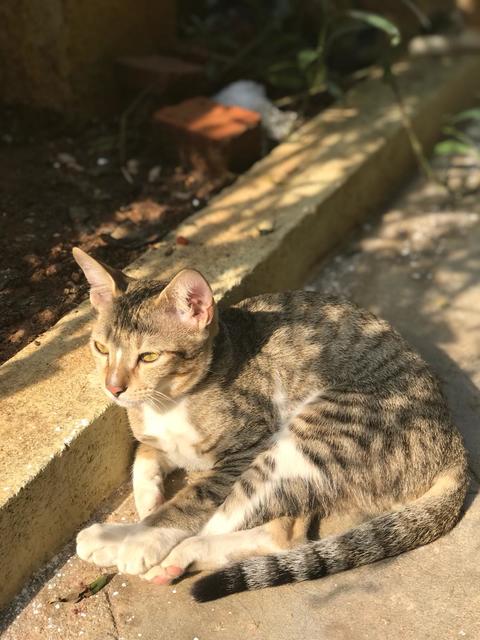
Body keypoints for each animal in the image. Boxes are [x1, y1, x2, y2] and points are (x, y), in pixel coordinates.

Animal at [72, 247, 468, 602]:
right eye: (100, 348)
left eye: (149, 356)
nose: (113, 388)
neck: (171, 402)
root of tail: (452, 442)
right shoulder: (154, 439)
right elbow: (143, 459)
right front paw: (146, 505)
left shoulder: (245, 448)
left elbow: (190, 500)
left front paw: (140, 537)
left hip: (308, 437)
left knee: (258, 526)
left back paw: (155, 552)